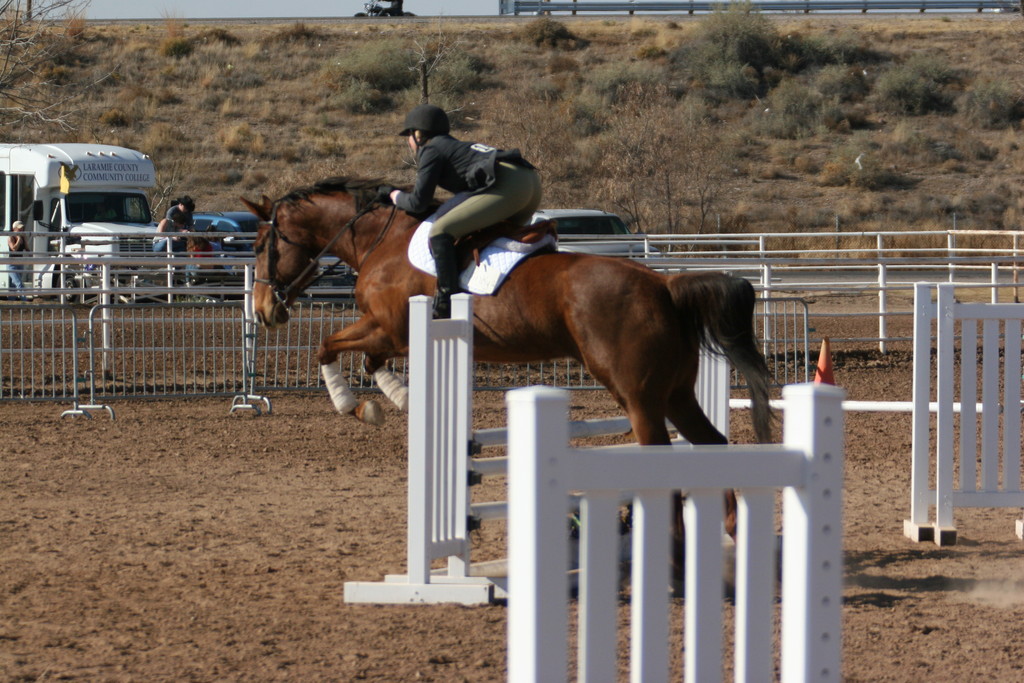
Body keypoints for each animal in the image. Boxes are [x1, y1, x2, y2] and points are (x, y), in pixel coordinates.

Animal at [243, 178, 770, 454]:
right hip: (674, 389)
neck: (382, 241)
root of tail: (664, 284)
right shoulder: (394, 335)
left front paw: (356, 405)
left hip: (639, 392)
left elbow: (326, 347)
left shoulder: (389, 328)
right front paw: (398, 399)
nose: (265, 311)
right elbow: (367, 361)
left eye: (262, 244)